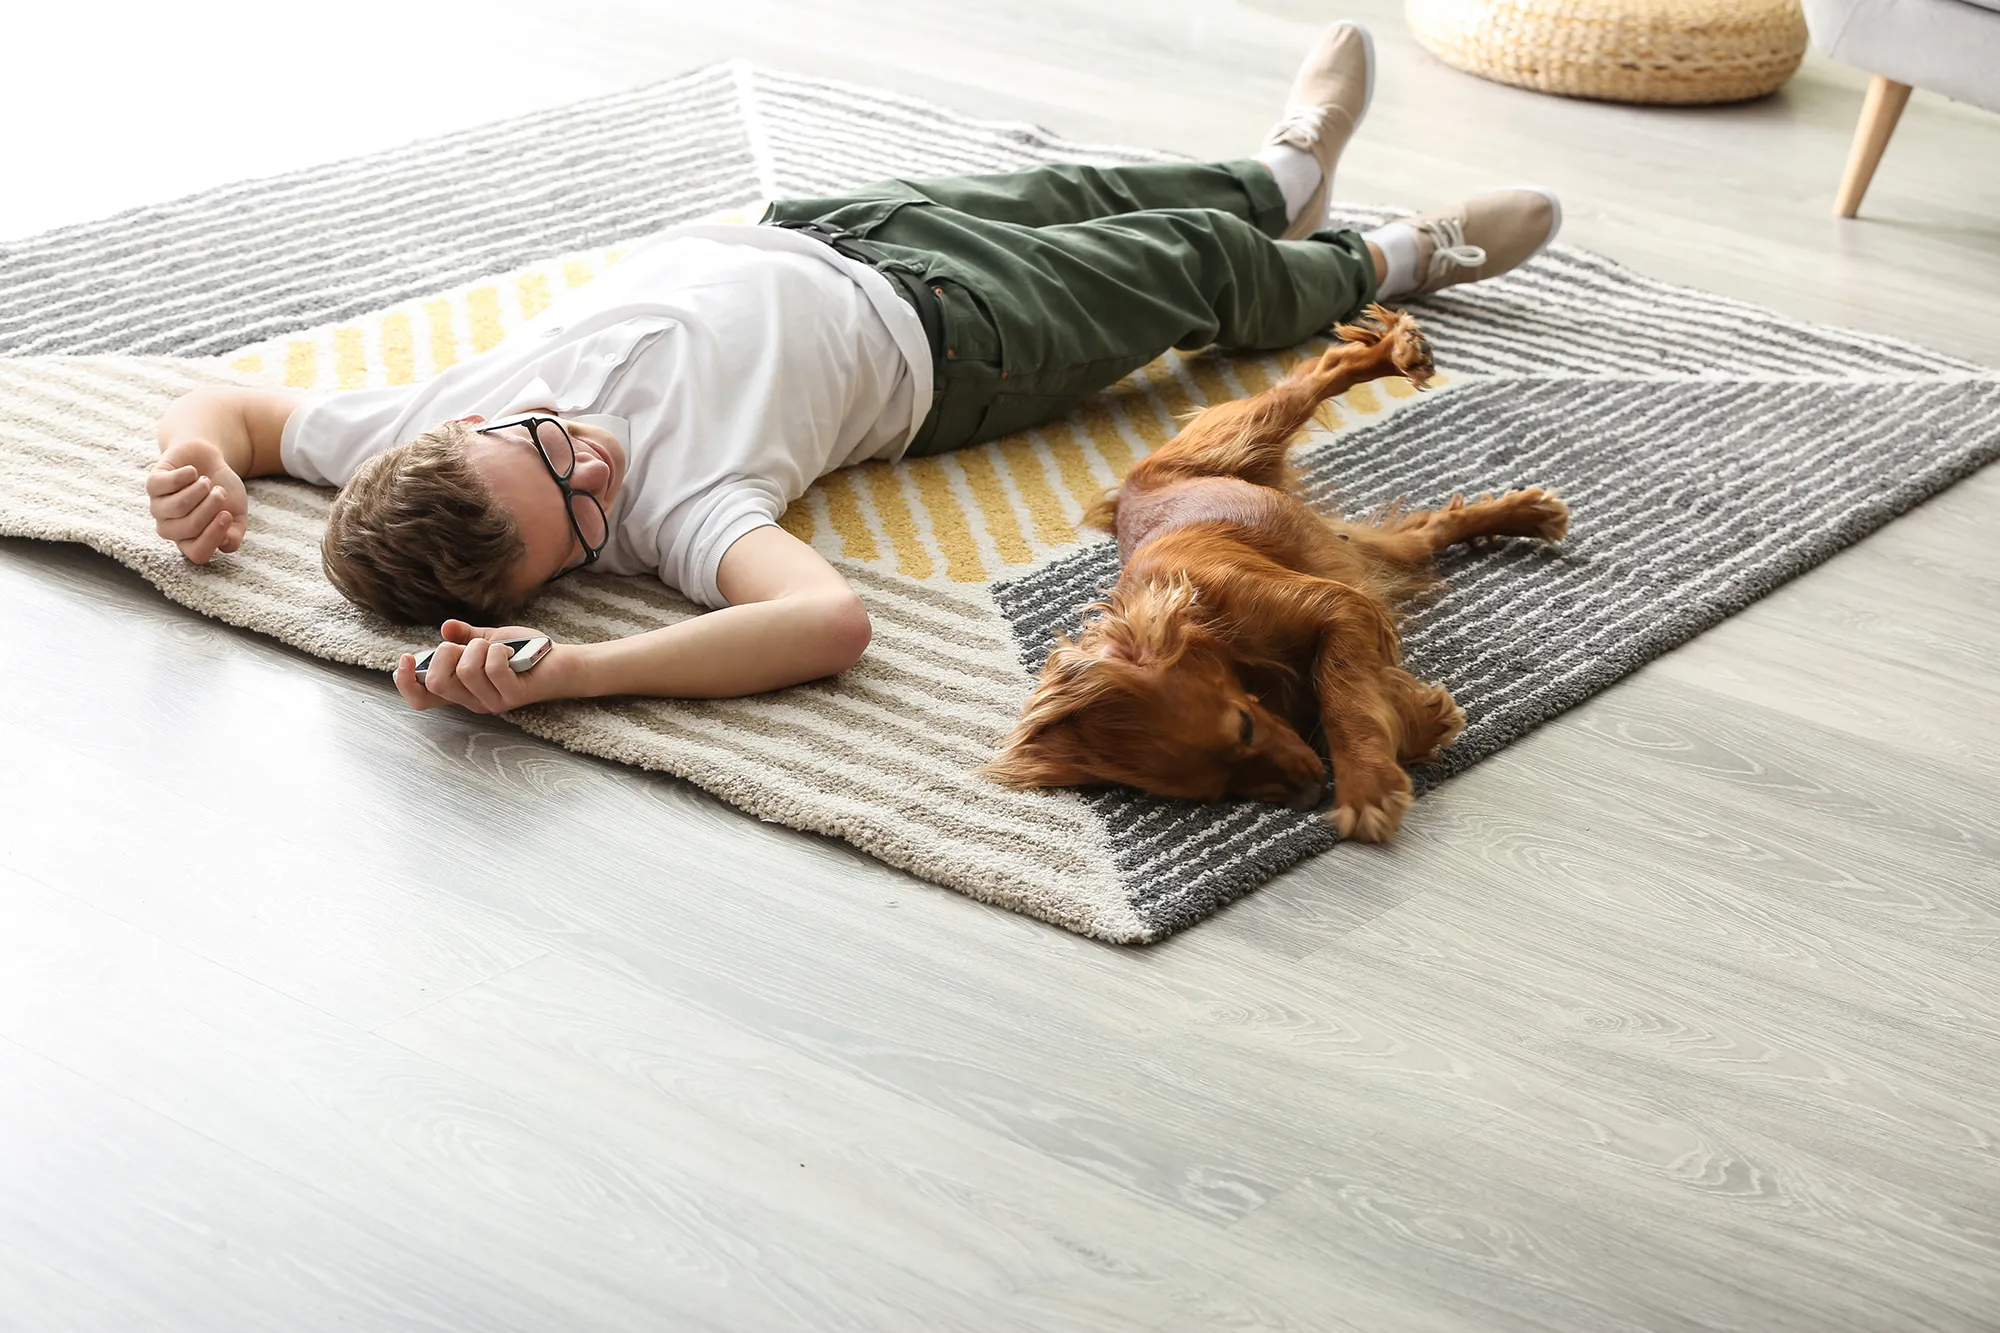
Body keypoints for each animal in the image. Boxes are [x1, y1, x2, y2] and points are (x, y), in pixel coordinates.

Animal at [976, 306, 1568, 836]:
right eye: (1216, 792)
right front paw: (1421, 723)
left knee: (1324, 371)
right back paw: (1528, 514)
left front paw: (1366, 783)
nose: (1312, 794)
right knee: (1428, 530)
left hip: (1245, 431)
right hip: (1357, 545)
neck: (1214, 629)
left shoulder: (1340, 609)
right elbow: (1361, 694)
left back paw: (1398, 351)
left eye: (1243, 728)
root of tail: (1125, 499)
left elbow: (1341, 695)